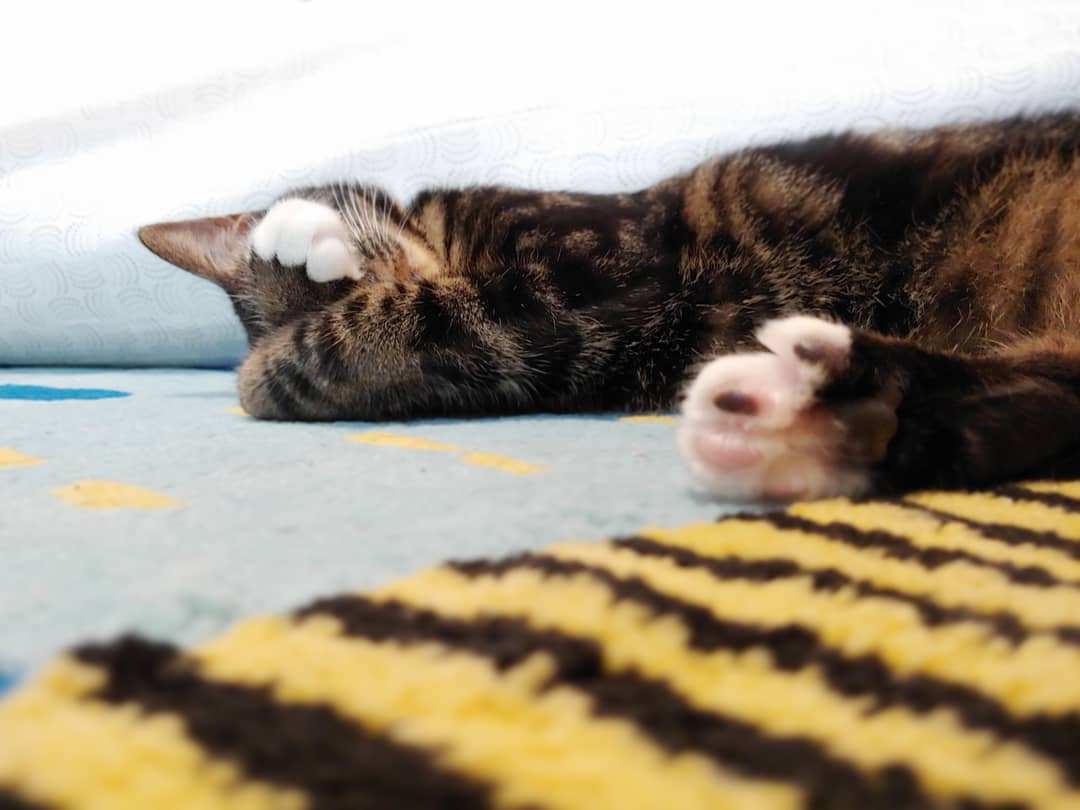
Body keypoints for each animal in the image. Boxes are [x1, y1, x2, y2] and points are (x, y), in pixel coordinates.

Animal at [139, 113, 1080, 501]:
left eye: (344, 275)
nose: (376, 270)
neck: (442, 244)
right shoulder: (535, 344)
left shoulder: (588, 270)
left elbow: (373, 329)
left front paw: (272, 351)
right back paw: (795, 419)